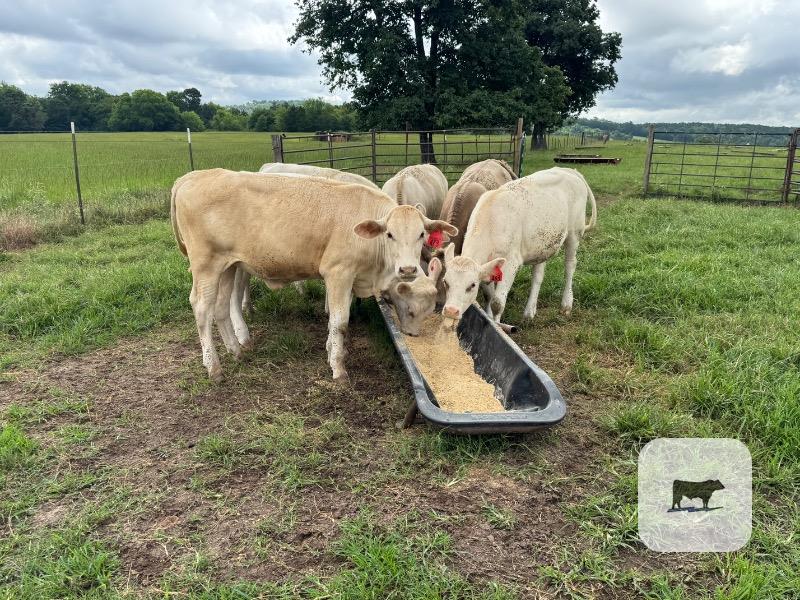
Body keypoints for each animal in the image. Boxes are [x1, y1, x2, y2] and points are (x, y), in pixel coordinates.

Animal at [170, 168, 456, 382]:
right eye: (390, 234)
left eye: (421, 233)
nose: (407, 269)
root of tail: (193, 176)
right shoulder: (338, 273)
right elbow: (340, 322)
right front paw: (338, 369)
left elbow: (335, 322)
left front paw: (333, 351)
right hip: (206, 266)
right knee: (202, 309)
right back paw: (214, 367)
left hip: (228, 265)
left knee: (220, 307)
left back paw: (236, 351)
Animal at [439, 167, 596, 324]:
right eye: (445, 282)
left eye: (471, 285)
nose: (451, 310)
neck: (490, 224)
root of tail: (568, 170)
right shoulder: (489, 266)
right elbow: (489, 295)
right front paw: (489, 318)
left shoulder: (511, 263)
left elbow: (497, 303)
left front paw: (498, 326)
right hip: (542, 244)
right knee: (538, 276)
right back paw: (529, 311)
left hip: (574, 234)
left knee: (570, 265)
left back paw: (566, 304)